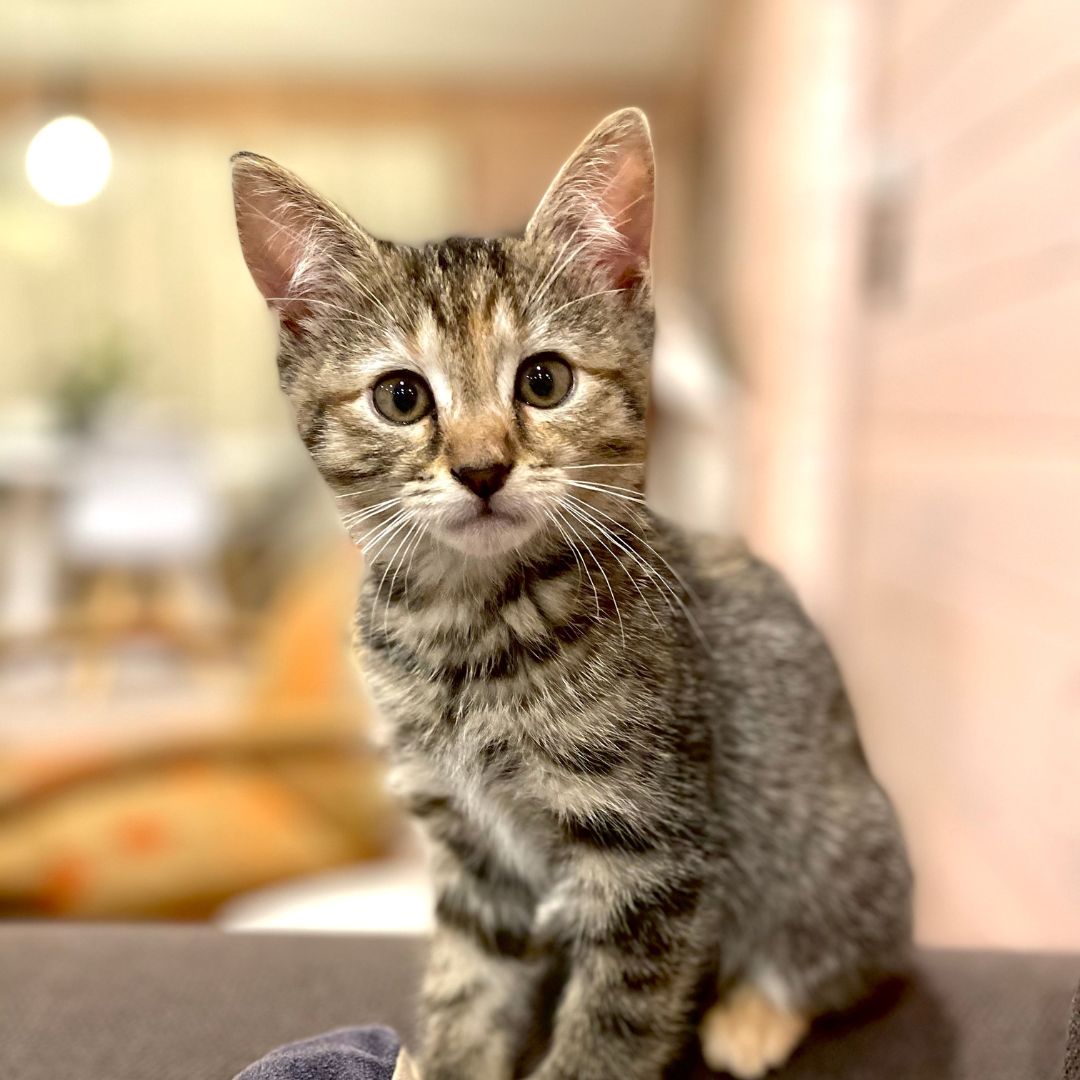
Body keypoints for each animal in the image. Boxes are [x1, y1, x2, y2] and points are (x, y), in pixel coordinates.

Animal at [232, 107, 915, 1080]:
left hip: (836, 846)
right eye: (401, 396)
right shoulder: (471, 852)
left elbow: (611, 1028)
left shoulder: (653, 857)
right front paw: (445, 1059)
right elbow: (468, 986)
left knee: (857, 953)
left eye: (544, 380)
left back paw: (755, 1014)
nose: (482, 467)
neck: (466, 633)